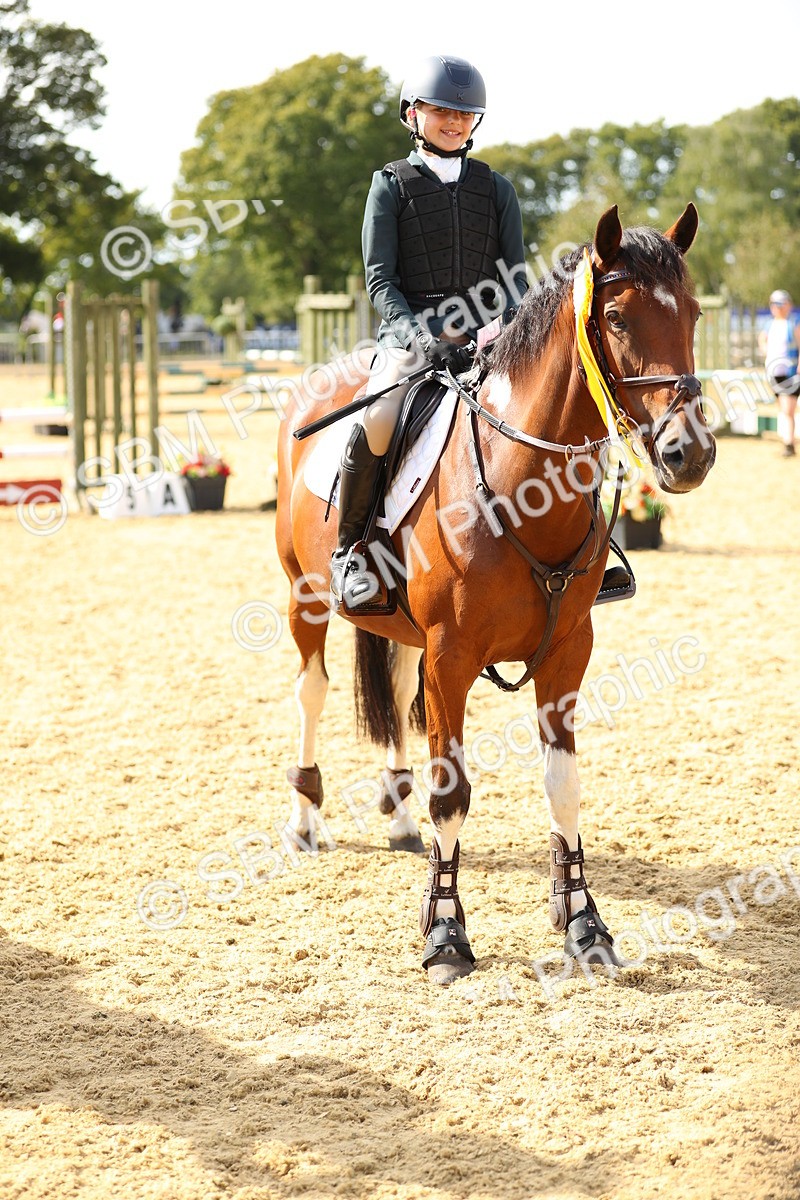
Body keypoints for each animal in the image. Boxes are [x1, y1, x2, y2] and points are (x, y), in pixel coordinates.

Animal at [275, 203, 716, 985]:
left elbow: (563, 785)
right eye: (618, 317)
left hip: (403, 633)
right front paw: (446, 935)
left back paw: (399, 819)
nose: (687, 454)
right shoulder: (451, 657)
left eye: (693, 312)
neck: (521, 486)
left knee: (393, 692)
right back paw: (305, 820)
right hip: (305, 597)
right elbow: (453, 791)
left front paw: (584, 925)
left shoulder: (567, 653)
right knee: (313, 690)